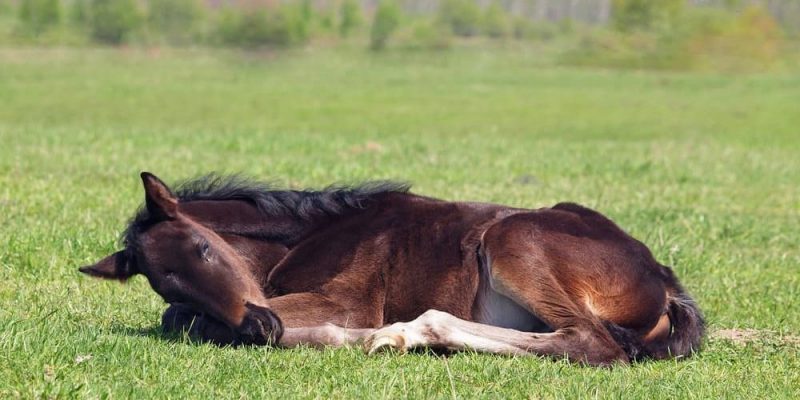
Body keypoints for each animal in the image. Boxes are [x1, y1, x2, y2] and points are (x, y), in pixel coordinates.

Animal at [81, 172, 704, 366]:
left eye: (204, 249)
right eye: (167, 285)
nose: (261, 326)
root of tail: (662, 277)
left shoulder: (347, 298)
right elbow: (181, 320)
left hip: (514, 237)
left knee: (589, 341)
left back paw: (409, 332)